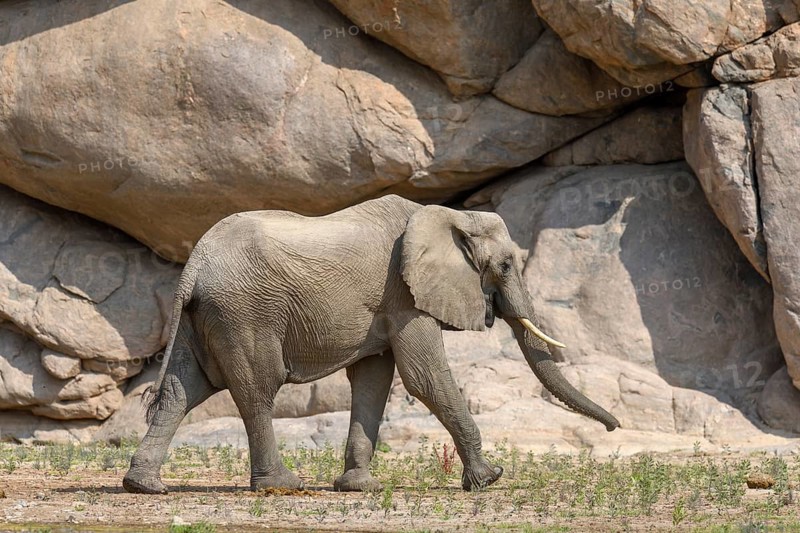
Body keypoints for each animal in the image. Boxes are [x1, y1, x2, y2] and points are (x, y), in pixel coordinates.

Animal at [122, 194, 619, 495]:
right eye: (506, 265)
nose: (613, 429)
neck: (449, 214)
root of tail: (194, 264)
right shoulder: (403, 295)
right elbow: (424, 379)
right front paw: (489, 479)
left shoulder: (389, 304)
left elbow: (374, 381)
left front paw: (359, 487)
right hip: (245, 312)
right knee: (258, 390)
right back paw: (283, 485)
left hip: (204, 316)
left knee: (181, 391)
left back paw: (143, 485)